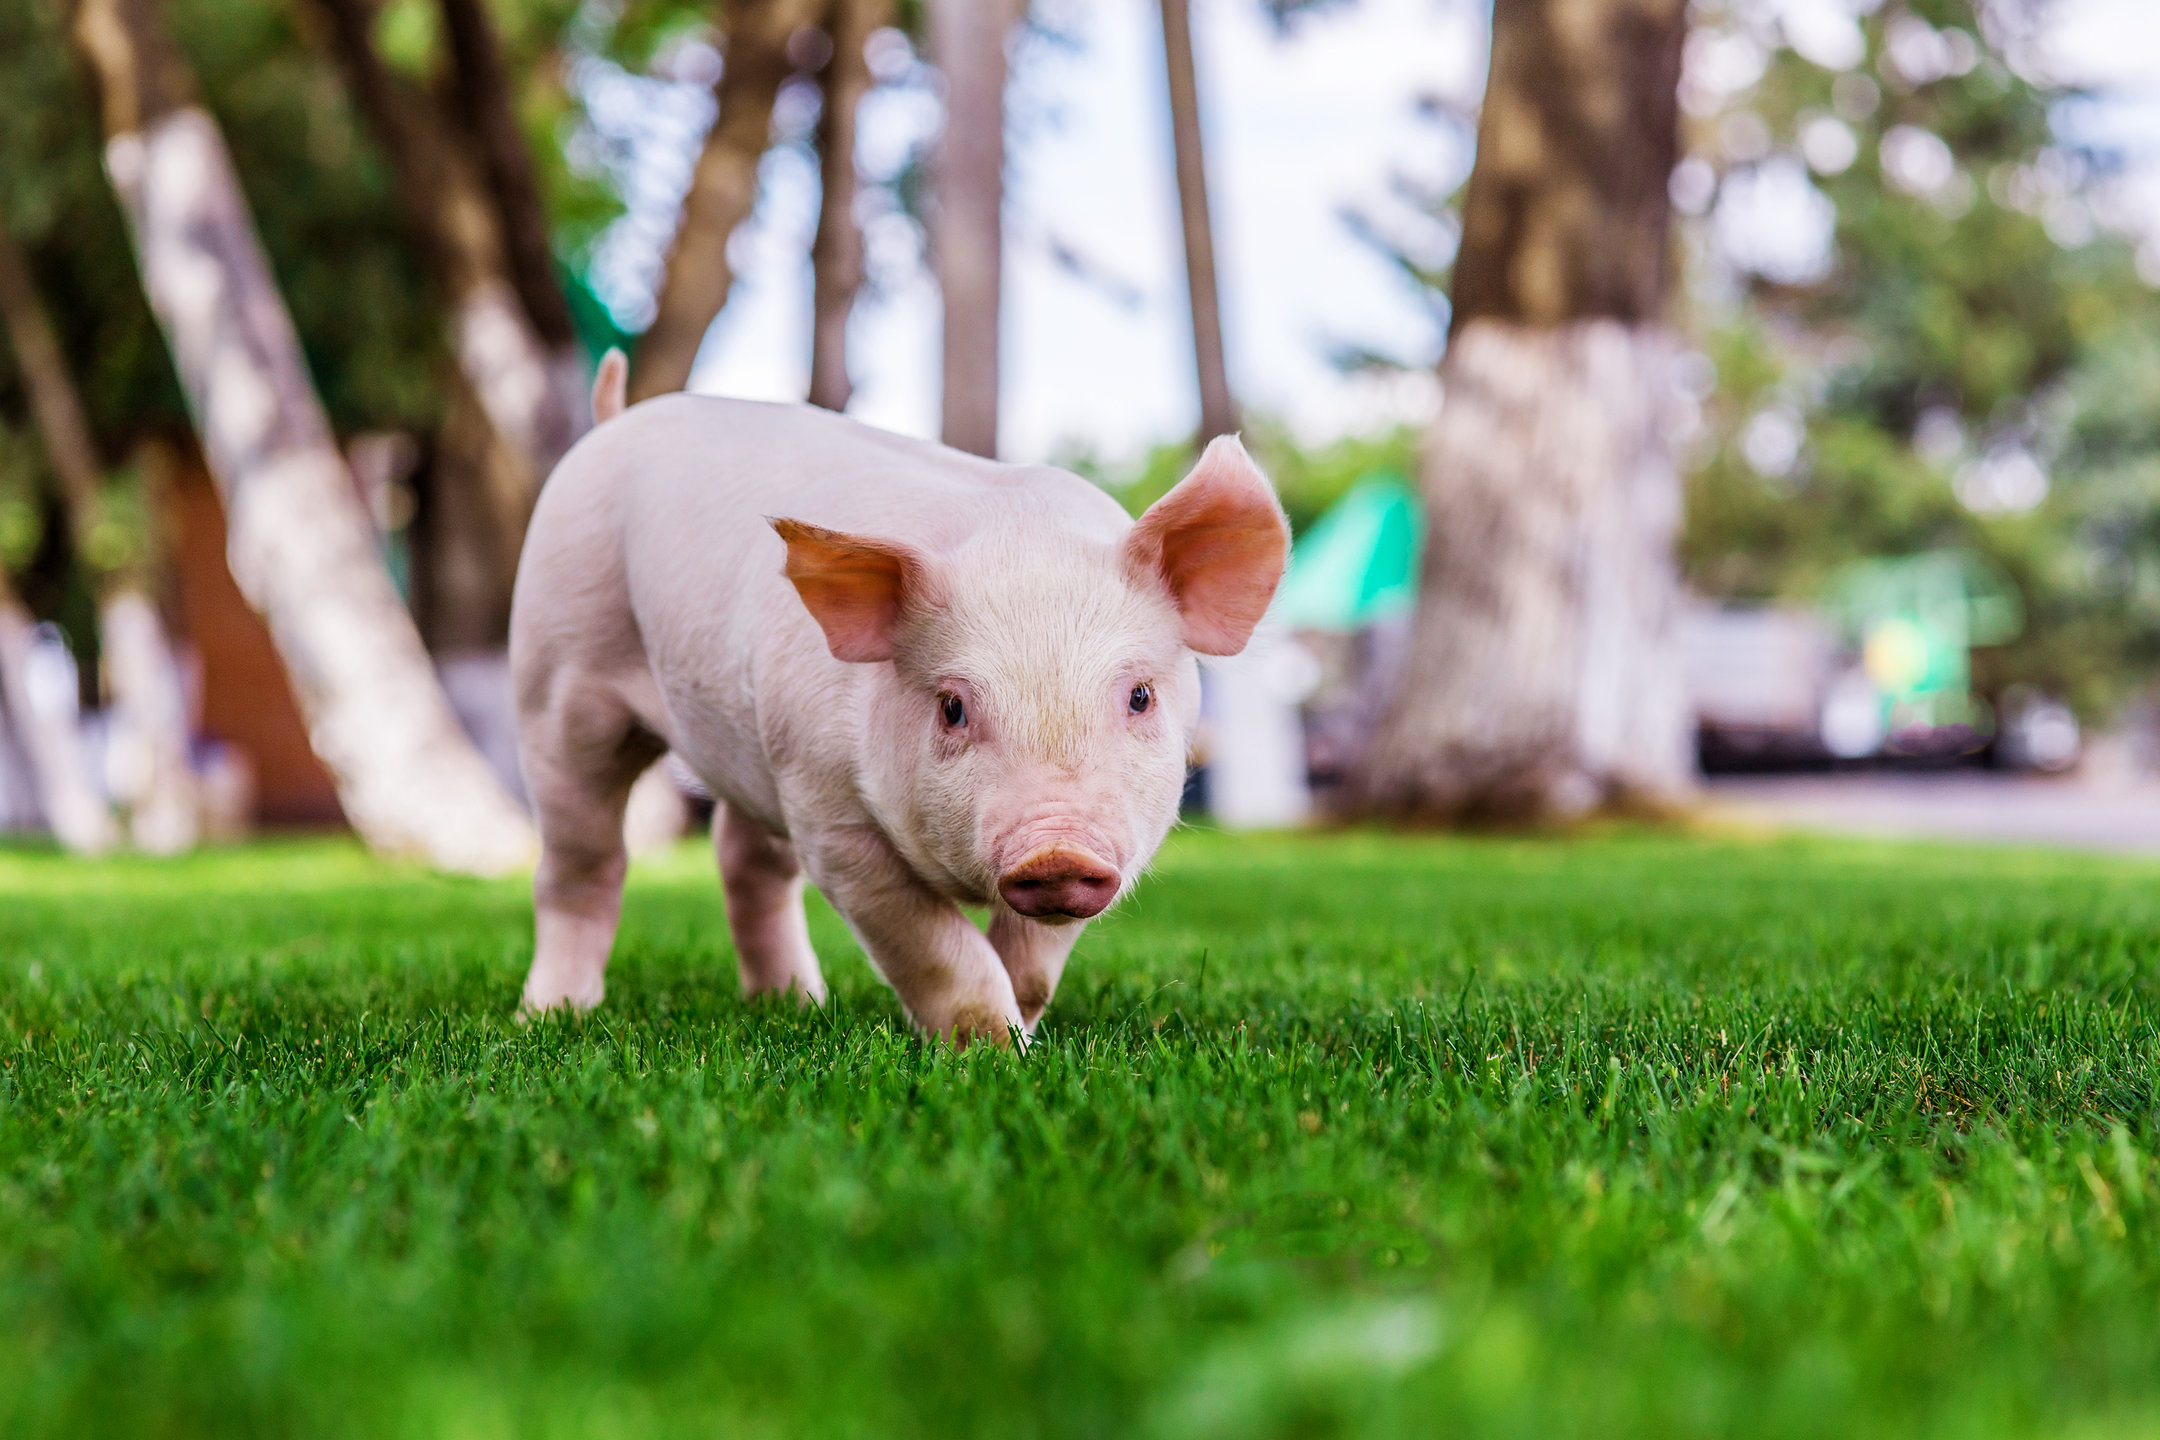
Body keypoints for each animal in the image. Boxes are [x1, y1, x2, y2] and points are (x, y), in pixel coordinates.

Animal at [509, 374, 1288, 1045]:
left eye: (1139, 696)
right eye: (952, 707)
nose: (1056, 848)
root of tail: (614, 418)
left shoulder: (1113, 845)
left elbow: (1034, 960)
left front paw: (1023, 1029)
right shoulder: (832, 819)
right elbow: (934, 946)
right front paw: (992, 1051)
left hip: (756, 745)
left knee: (744, 857)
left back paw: (795, 1004)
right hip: (557, 676)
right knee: (582, 862)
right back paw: (552, 1015)